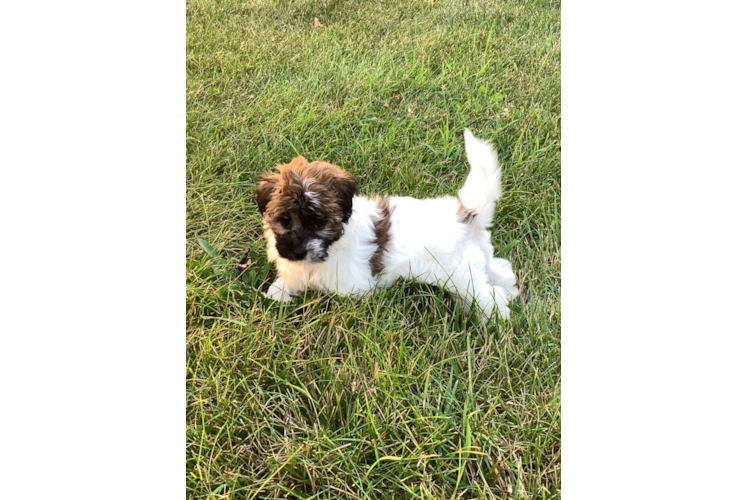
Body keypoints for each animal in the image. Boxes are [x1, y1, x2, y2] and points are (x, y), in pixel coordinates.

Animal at [258, 129, 520, 320]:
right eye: (284, 220)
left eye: (318, 223)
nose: (298, 251)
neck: (333, 244)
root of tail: (465, 214)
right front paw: (277, 294)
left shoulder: (354, 287)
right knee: (500, 271)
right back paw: (508, 289)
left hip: (462, 276)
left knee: (486, 295)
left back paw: (495, 317)